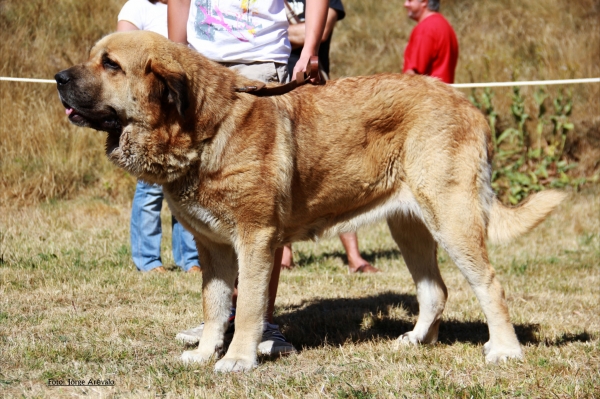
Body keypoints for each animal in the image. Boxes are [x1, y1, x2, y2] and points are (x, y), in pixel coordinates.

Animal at [54, 32, 564, 374]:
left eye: (111, 64)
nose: (58, 78)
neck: (203, 128)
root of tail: (469, 106)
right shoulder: (212, 248)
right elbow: (215, 306)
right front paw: (202, 354)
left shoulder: (256, 241)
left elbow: (249, 307)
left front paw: (237, 360)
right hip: (410, 226)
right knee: (434, 290)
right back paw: (418, 341)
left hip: (452, 220)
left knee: (489, 284)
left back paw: (505, 350)